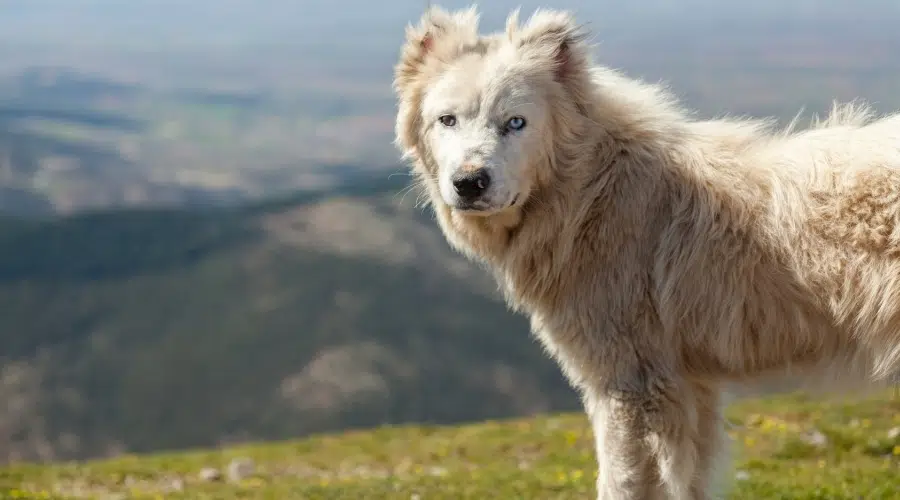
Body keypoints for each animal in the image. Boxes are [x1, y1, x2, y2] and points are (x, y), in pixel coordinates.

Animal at [392, 5, 900, 498]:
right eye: (448, 120)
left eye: (515, 122)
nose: (469, 183)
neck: (589, 190)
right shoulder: (691, 387)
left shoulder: (630, 385)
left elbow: (622, 483)